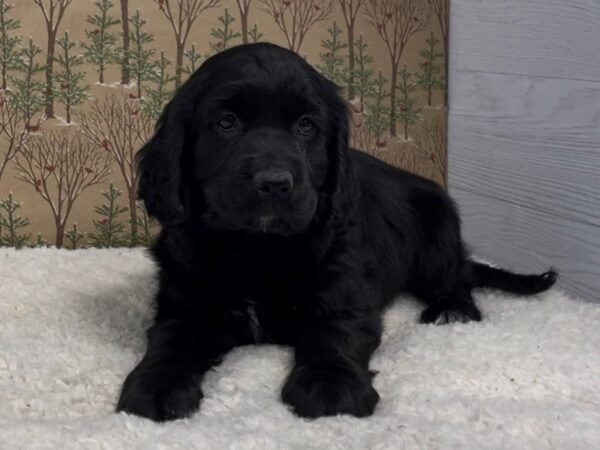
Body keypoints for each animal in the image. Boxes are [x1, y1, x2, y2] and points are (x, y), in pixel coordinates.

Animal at [117, 43, 556, 422]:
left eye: (306, 126)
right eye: (227, 123)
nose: (275, 183)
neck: (258, 248)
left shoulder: (342, 283)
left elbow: (334, 332)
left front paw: (332, 387)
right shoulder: (185, 298)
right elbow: (171, 339)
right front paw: (155, 386)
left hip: (437, 237)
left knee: (457, 276)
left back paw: (453, 311)